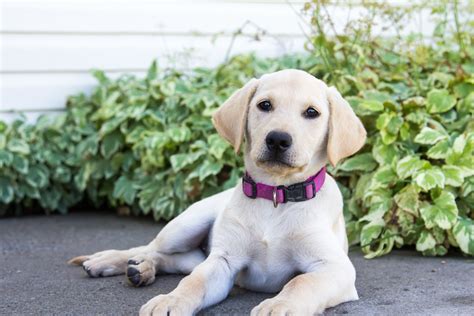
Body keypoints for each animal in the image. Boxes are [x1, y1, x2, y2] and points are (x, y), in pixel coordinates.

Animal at [69, 69, 366, 316]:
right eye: (265, 105)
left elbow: (302, 282)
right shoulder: (223, 260)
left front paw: (280, 305)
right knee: (149, 248)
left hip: (195, 250)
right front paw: (171, 300)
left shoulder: (335, 267)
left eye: (312, 112)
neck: (275, 196)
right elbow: (194, 282)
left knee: (172, 260)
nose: (278, 139)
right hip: (186, 225)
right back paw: (111, 261)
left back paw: (141, 269)